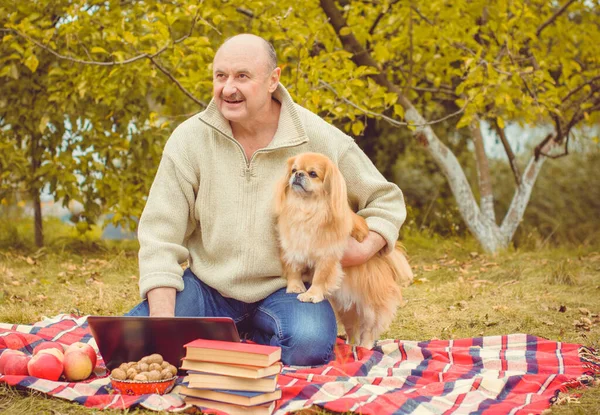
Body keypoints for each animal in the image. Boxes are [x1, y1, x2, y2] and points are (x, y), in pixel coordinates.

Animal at [276, 152, 412, 348]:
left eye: (313, 174)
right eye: (294, 170)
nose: (299, 174)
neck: (306, 208)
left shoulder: (327, 256)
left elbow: (319, 278)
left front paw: (311, 294)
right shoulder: (292, 247)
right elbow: (294, 269)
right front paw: (295, 287)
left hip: (369, 307)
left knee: (368, 331)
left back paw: (364, 349)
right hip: (345, 309)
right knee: (352, 330)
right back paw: (349, 347)